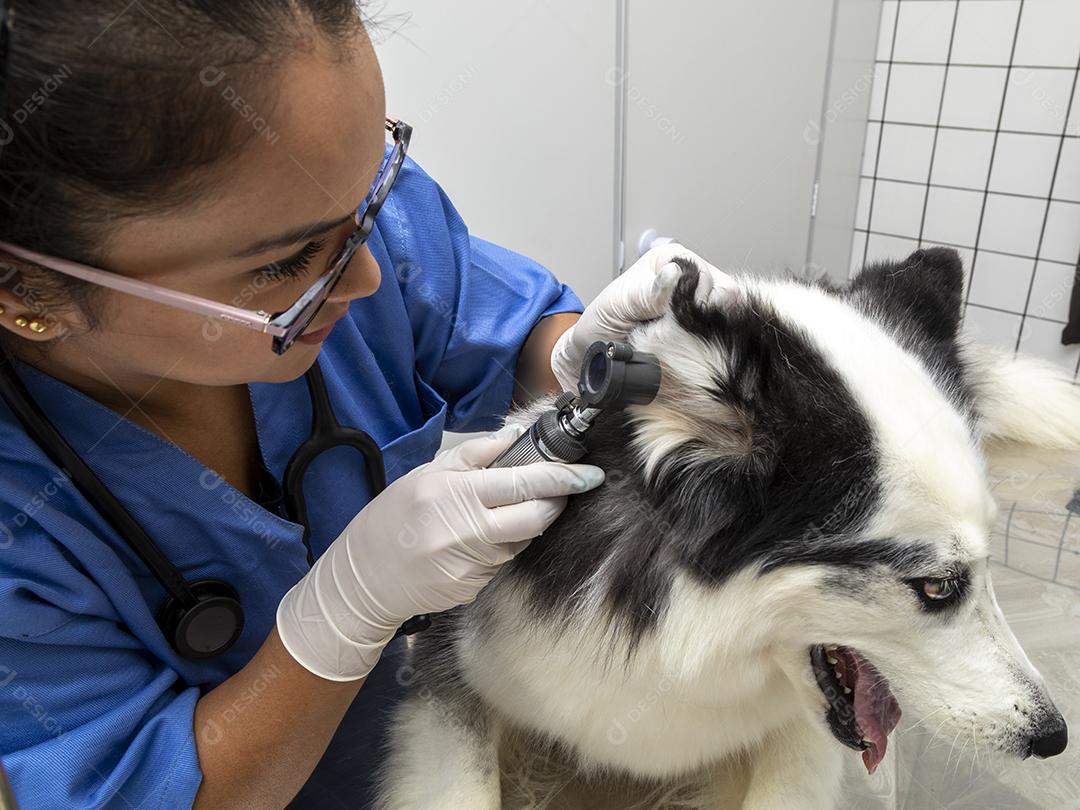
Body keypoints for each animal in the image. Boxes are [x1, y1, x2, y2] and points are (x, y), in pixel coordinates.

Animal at [375, 249, 1075, 810]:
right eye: (935, 587)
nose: (1053, 737)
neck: (675, 640)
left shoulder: (795, 735)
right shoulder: (450, 677)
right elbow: (463, 787)